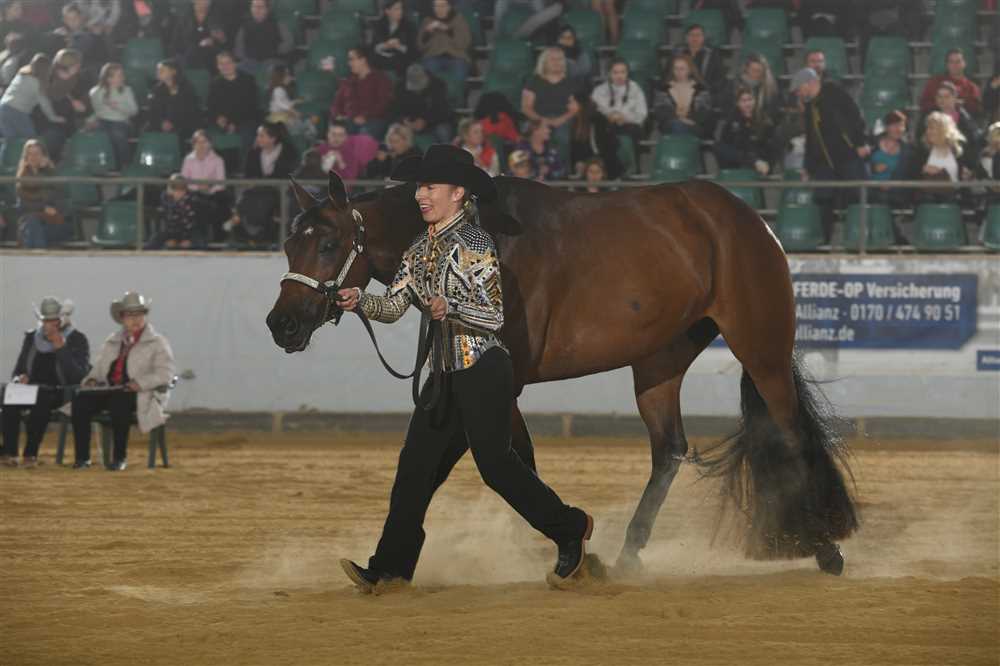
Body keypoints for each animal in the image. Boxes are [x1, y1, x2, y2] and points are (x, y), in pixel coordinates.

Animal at [267, 173, 859, 576]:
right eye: (290, 243)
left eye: (327, 244)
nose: (281, 324)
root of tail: (749, 219)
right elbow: (472, 465)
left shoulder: (504, 382)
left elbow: (508, 463)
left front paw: (570, 547)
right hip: (658, 361)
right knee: (669, 450)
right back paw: (630, 555)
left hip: (761, 348)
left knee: (788, 433)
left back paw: (824, 548)